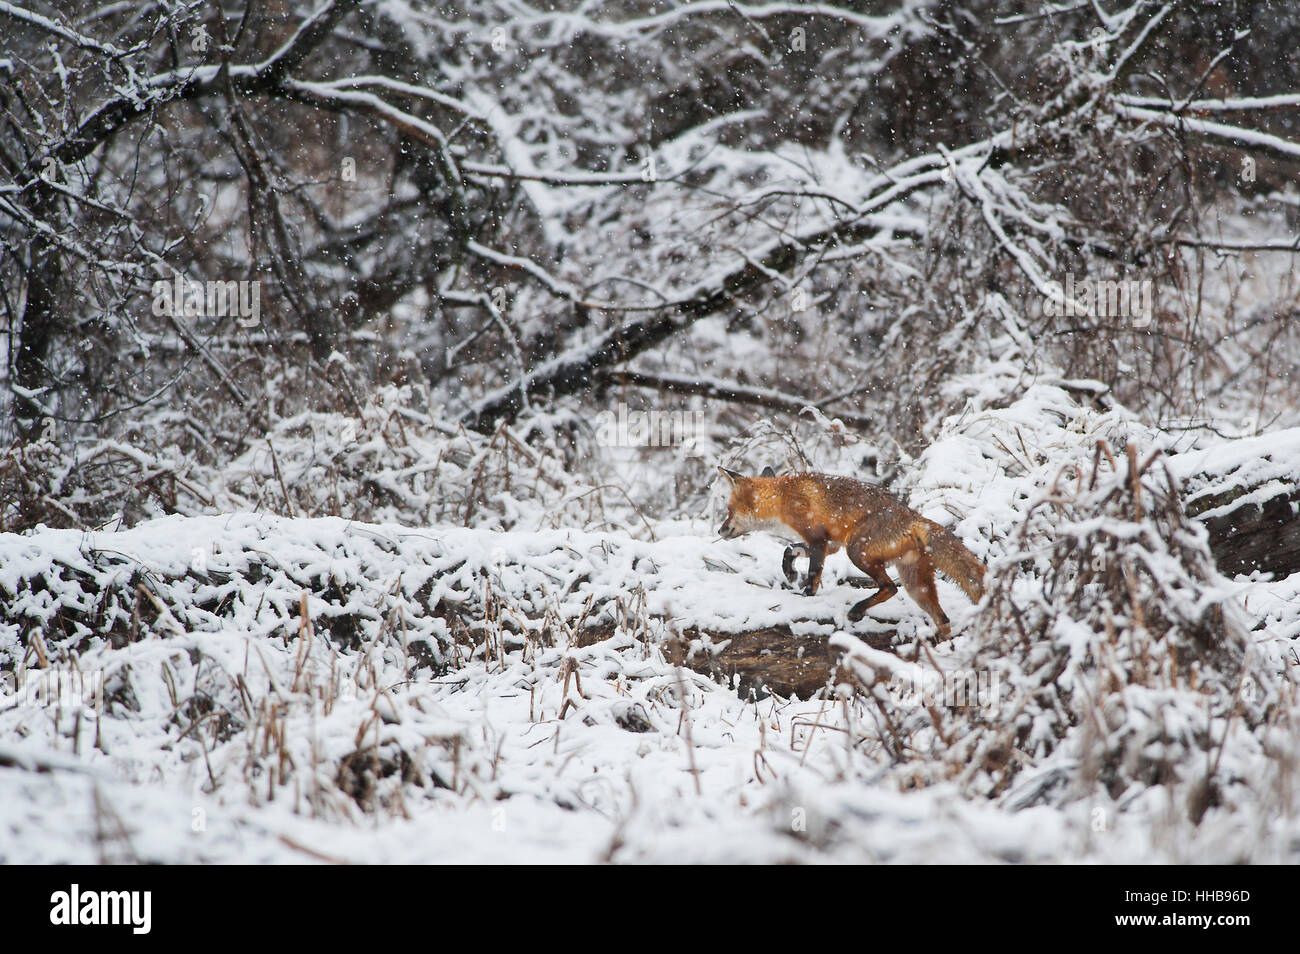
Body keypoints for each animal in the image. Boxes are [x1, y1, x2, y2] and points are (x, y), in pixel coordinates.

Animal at [717, 466, 986, 638]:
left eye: (729, 510)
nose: (720, 530)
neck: (783, 497)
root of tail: (914, 517)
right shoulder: (830, 544)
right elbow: (790, 549)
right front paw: (790, 572)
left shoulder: (818, 540)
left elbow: (813, 574)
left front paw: (806, 597)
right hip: (915, 585)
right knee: (943, 620)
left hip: (857, 552)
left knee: (890, 587)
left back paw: (858, 610)